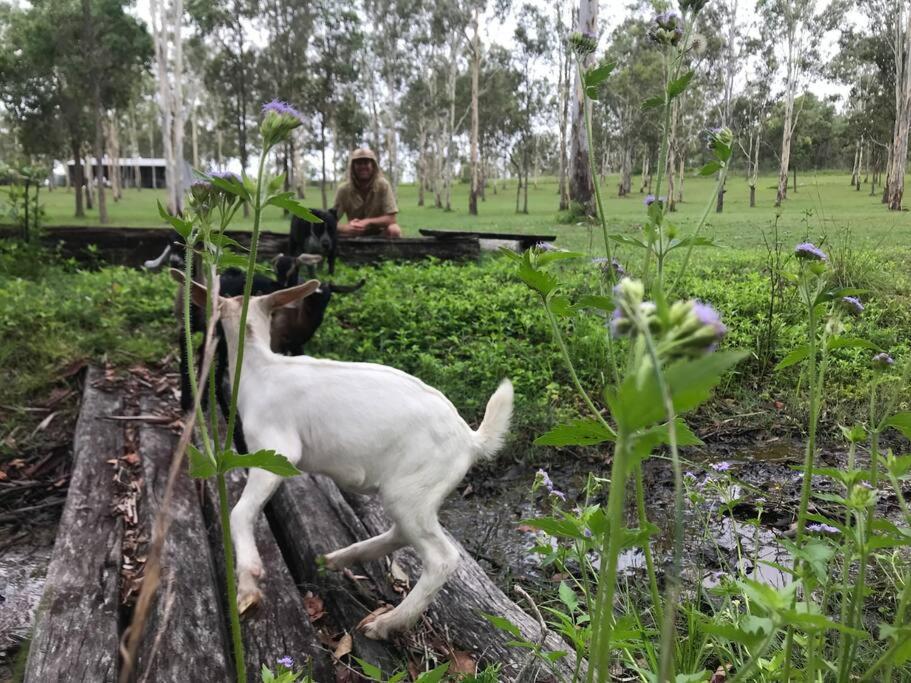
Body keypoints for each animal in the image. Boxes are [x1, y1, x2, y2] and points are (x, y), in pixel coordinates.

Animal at [171, 272, 512, 640]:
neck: (260, 365)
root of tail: (471, 439)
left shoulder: (275, 447)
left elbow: (239, 512)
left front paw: (249, 582)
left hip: (414, 487)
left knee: (441, 558)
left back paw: (385, 624)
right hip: (415, 495)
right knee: (402, 532)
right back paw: (339, 559)